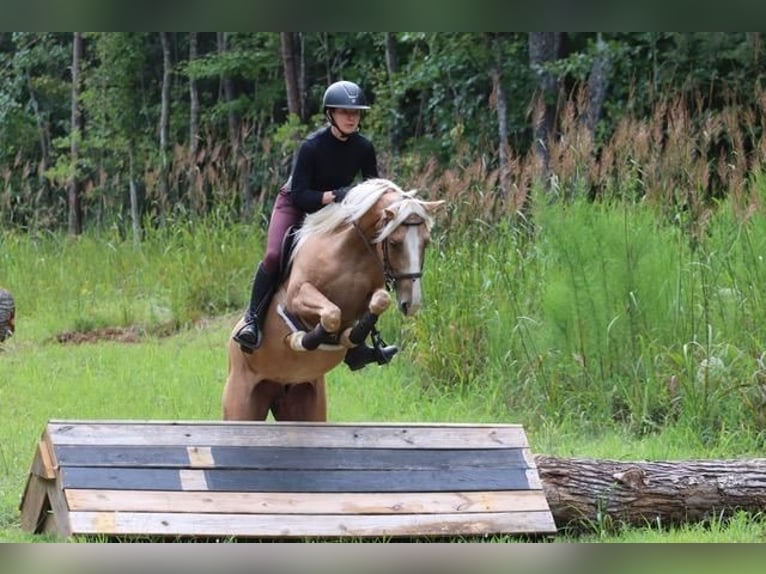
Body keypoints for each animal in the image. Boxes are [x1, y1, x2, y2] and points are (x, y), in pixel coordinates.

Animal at [224, 177, 444, 424]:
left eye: (426, 242)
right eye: (395, 243)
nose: (411, 303)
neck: (351, 250)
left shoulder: (371, 293)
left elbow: (379, 300)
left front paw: (354, 337)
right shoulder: (297, 296)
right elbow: (331, 314)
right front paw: (307, 339)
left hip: (306, 404)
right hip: (241, 401)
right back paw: (250, 332)